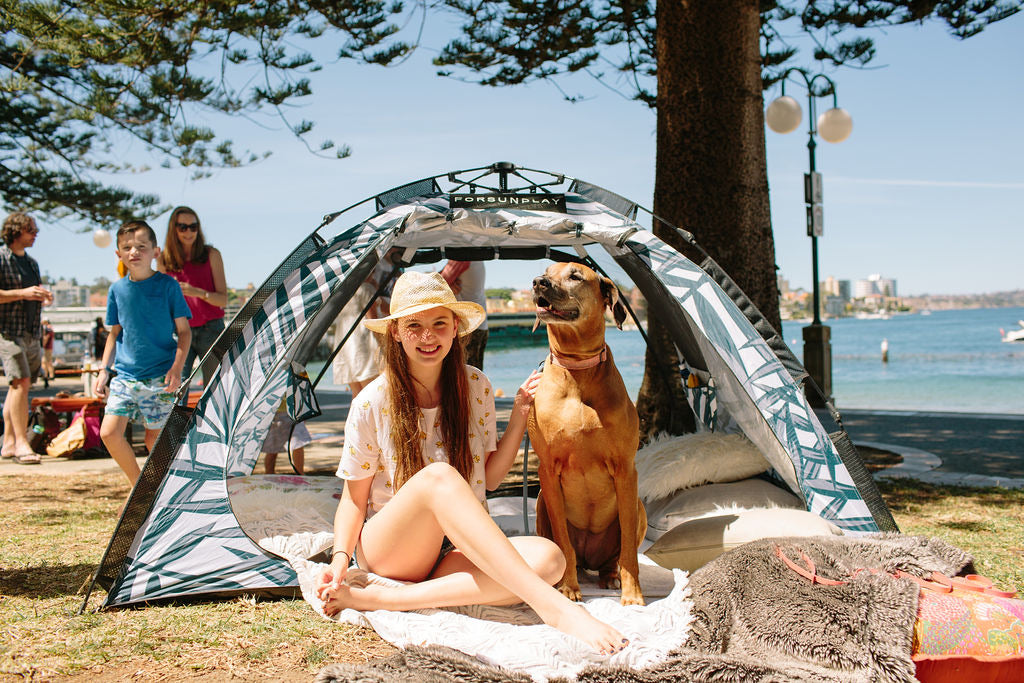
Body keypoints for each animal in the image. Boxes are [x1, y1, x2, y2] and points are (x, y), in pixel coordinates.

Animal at [532, 264, 643, 610]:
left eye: (575, 276)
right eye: (545, 270)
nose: (538, 282)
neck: (577, 370)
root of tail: (589, 560)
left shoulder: (625, 470)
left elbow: (629, 551)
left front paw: (633, 594)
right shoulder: (548, 470)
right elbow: (563, 545)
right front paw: (568, 588)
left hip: (638, 508)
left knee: (615, 557)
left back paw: (610, 576)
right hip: (541, 504)